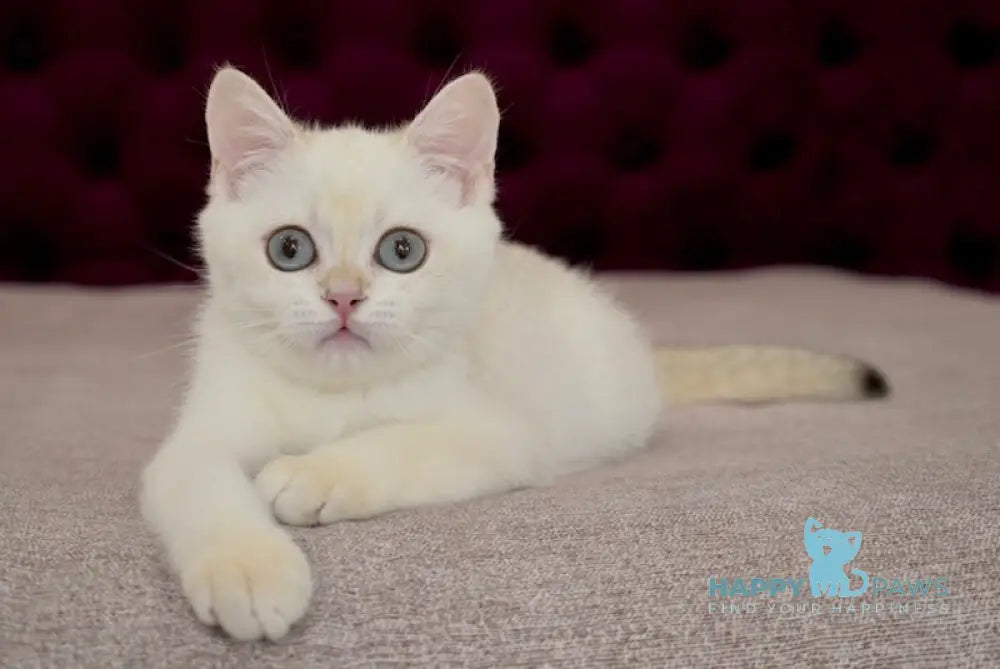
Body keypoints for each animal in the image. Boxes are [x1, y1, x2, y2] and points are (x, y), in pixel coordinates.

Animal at [139, 68, 884, 640]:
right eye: (289, 249)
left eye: (401, 250)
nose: (344, 297)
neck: (335, 395)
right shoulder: (196, 440)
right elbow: (200, 483)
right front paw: (247, 569)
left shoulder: (497, 432)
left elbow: (398, 443)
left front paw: (311, 473)